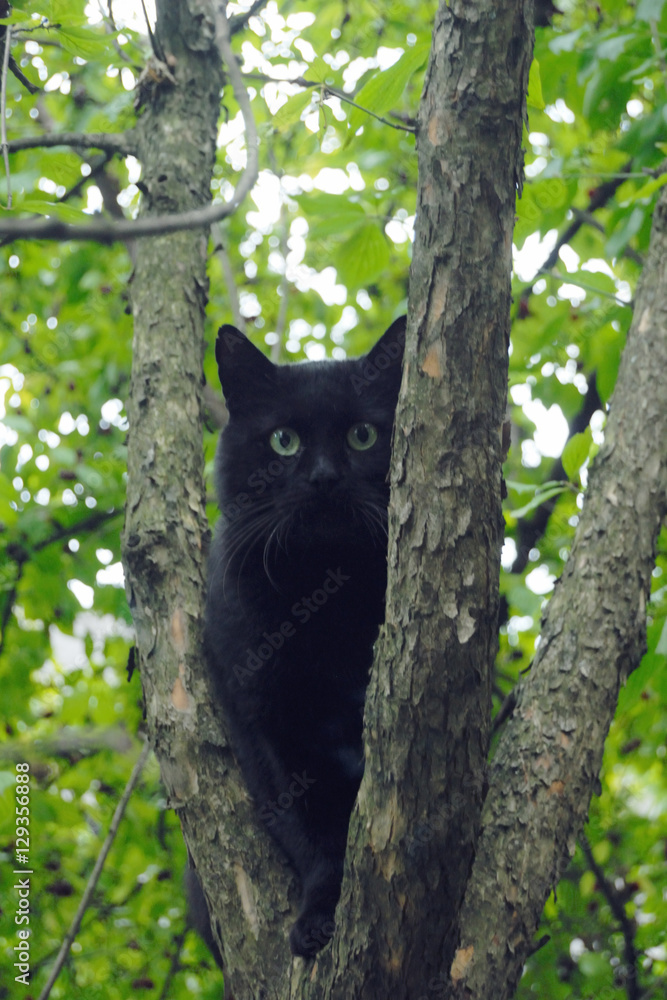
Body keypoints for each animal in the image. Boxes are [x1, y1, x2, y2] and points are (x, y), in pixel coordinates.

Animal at [204, 316, 404, 956]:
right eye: (283, 441)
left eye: (363, 435)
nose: (323, 478)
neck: (325, 598)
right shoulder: (266, 725)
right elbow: (308, 831)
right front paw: (318, 915)